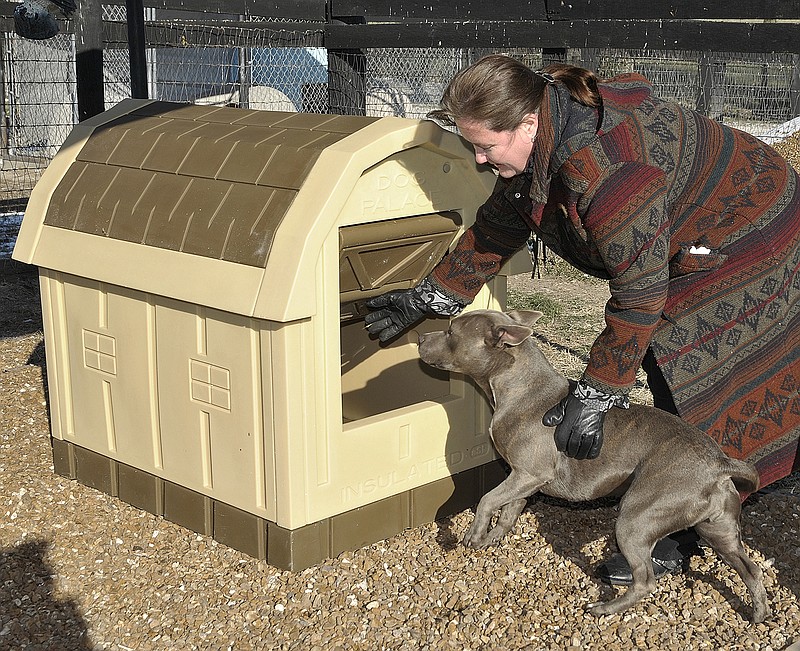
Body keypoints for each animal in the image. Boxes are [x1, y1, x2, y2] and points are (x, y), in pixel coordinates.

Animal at [416, 310, 772, 620]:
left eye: (450, 331)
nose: (420, 337)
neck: (519, 387)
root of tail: (719, 463)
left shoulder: (528, 473)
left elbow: (487, 500)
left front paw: (473, 535)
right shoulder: (523, 479)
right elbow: (508, 511)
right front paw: (491, 538)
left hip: (636, 519)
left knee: (645, 580)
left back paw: (604, 608)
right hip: (717, 529)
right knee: (751, 569)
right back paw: (758, 613)